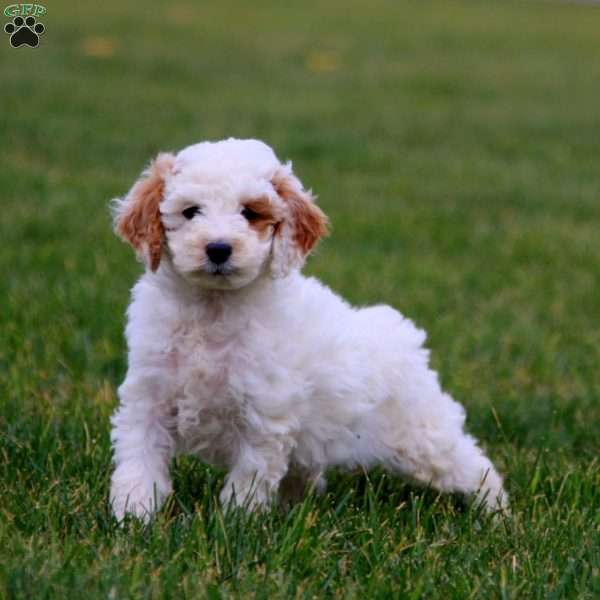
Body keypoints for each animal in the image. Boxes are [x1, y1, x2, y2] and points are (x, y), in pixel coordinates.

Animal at [110, 137, 508, 520]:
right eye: (191, 211)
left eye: (250, 212)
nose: (218, 249)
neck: (213, 307)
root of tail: (397, 331)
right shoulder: (148, 398)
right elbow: (138, 461)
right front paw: (134, 517)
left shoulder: (263, 417)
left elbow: (248, 479)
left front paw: (235, 522)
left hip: (419, 435)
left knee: (472, 465)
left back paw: (497, 513)